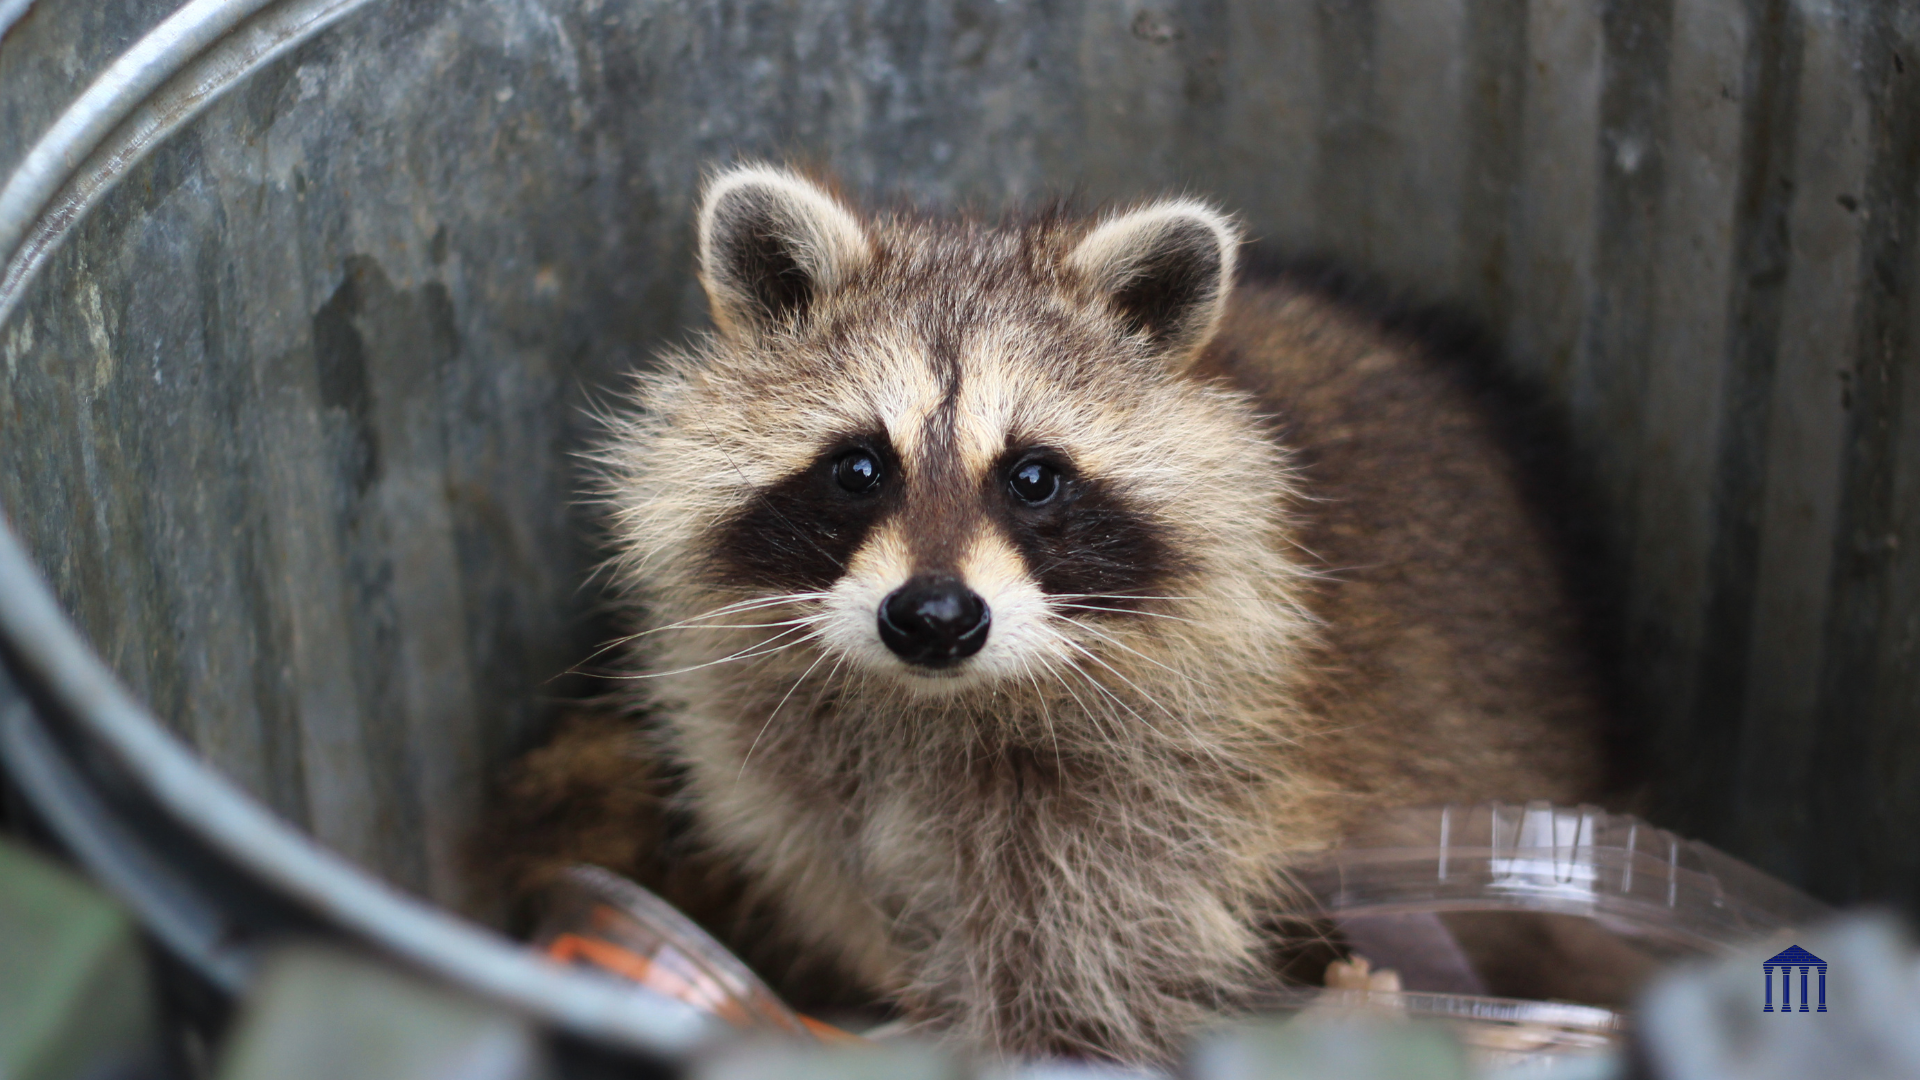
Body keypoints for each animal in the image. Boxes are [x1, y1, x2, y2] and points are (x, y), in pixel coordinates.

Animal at [569, 165, 1609, 1063]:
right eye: (858, 467)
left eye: (1034, 478)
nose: (935, 617)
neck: (933, 705)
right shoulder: (789, 765)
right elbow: (848, 884)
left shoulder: (1171, 789)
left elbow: (1088, 965)